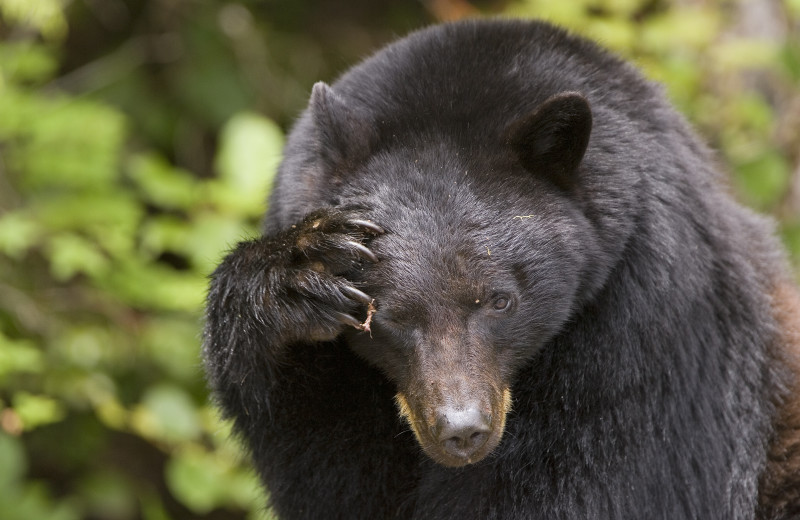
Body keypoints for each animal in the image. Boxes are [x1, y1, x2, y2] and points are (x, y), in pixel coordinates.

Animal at [203, 18, 800, 520]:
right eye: (385, 316)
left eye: (499, 300)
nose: (461, 429)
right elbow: (337, 475)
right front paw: (295, 278)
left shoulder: (647, 327)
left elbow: (595, 484)